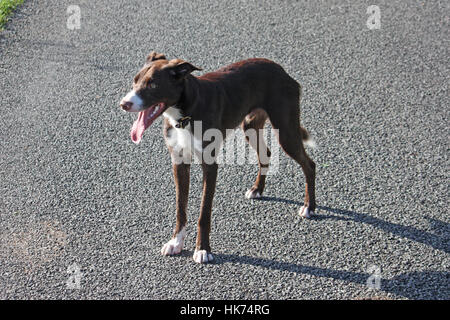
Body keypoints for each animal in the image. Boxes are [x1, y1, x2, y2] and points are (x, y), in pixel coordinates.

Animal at [119, 52, 316, 262]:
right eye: (135, 81)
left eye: (153, 85)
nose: (123, 104)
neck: (185, 113)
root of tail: (280, 69)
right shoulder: (179, 163)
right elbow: (180, 209)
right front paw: (176, 242)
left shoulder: (210, 165)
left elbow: (204, 213)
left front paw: (203, 249)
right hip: (250, 126)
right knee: (266, 154)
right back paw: (257, 189)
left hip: (286, 131)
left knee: (309, 164)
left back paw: (309, 207)